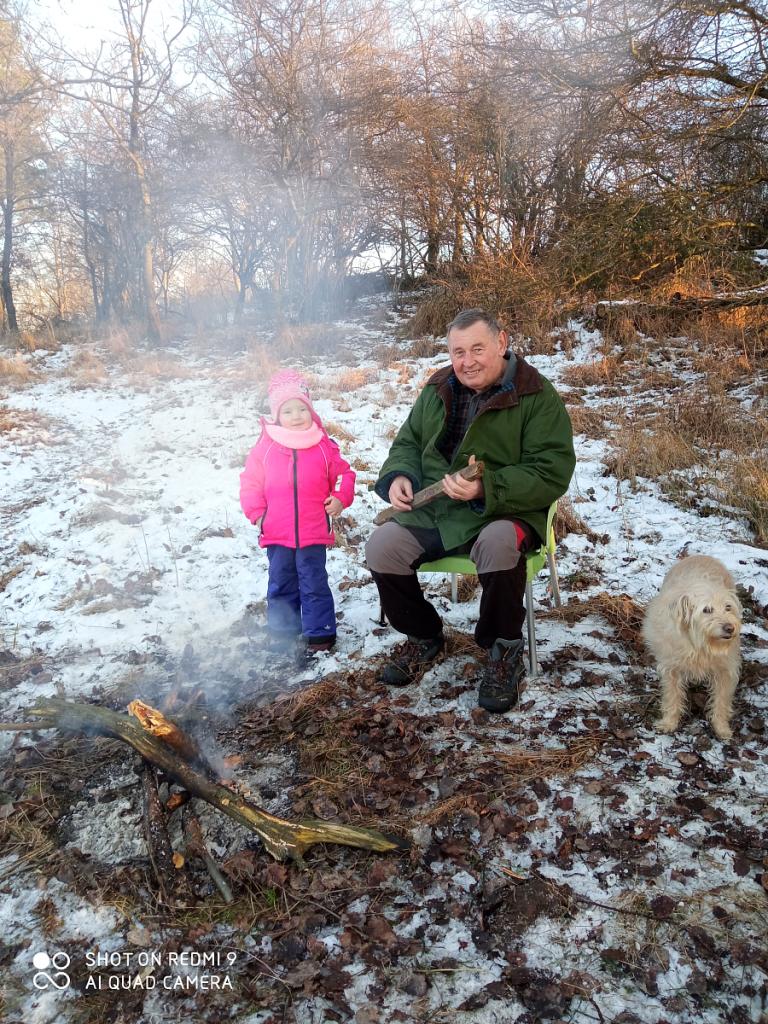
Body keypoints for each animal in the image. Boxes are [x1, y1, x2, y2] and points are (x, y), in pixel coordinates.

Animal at [642, 555, 742, 741]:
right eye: (707, 609)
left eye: (728, 607)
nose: (730, 628)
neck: (700, 644)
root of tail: (701, 555)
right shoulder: (671, 668)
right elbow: (672, 696)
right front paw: (669, 723)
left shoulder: (725, 670)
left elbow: (721, 700)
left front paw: (721, 728)